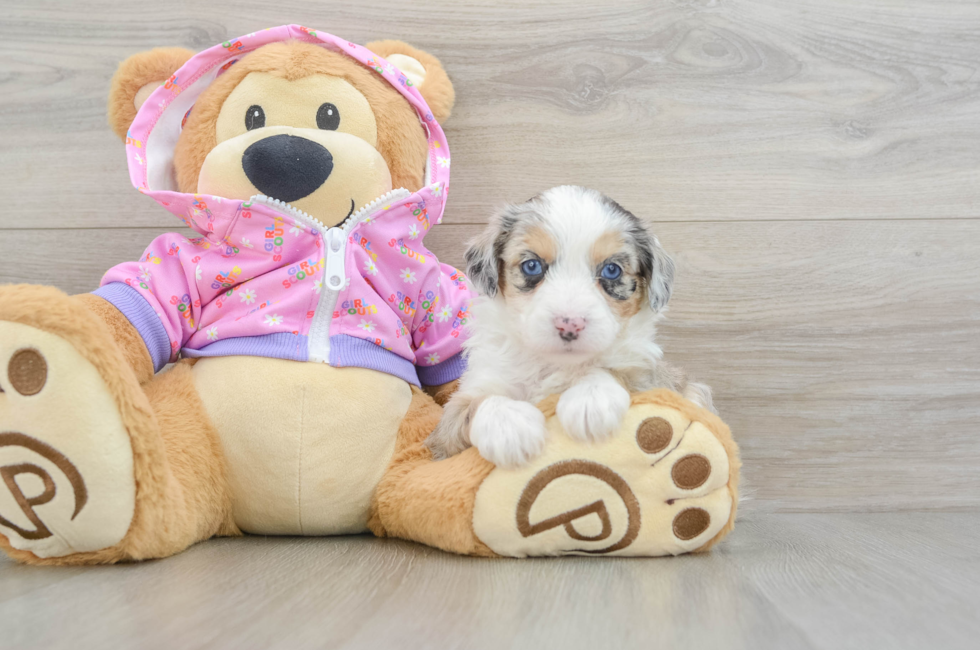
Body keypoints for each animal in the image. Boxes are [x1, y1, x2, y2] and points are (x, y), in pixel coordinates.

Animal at [428, 184, 712, 466]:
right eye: (532, 266)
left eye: (612, 270)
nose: (570, 326)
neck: (554, 363)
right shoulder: (449, 428)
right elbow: (475, 403)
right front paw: (509, 426)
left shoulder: (648, 381)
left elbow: (612, 370)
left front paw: (591, 398)